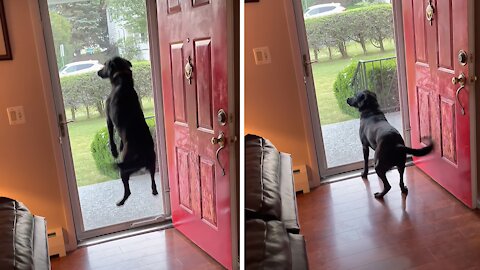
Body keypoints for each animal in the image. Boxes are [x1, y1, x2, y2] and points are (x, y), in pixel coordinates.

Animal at [97, 56, 158, 206]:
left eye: (105, 65)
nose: (97, 72)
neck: (122, 79)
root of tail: (142, 156)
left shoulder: (108, 118)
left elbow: (111, 134)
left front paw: (114, 150)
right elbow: (119, 140)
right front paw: (119, 146)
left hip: (124, 168)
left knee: (128, 190)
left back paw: (121, 201)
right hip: (152, 164)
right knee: (153, 182)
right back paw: (154, 191)